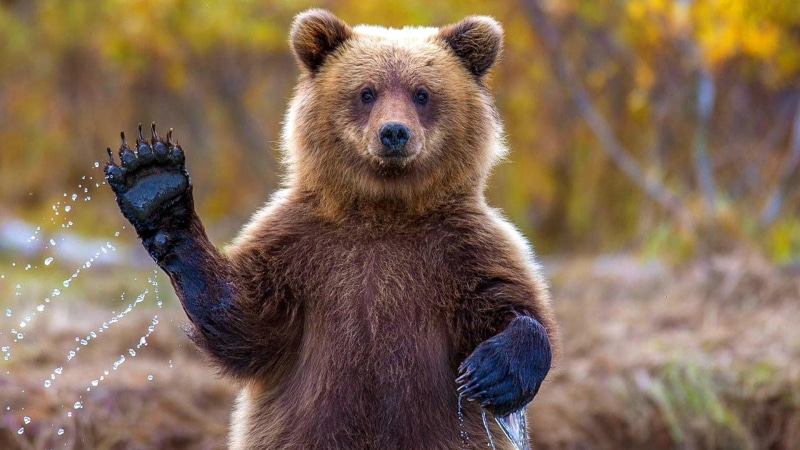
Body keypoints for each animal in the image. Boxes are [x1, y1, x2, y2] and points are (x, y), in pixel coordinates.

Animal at [104, 9, 557, 450]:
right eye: (367, 92)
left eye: (422, 93)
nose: (394, 133)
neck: (383, 211)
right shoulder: (299, 246)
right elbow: (245, 321)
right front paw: (153, 182)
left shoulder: (463, 247)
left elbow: (513, 304)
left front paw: (493, 372)